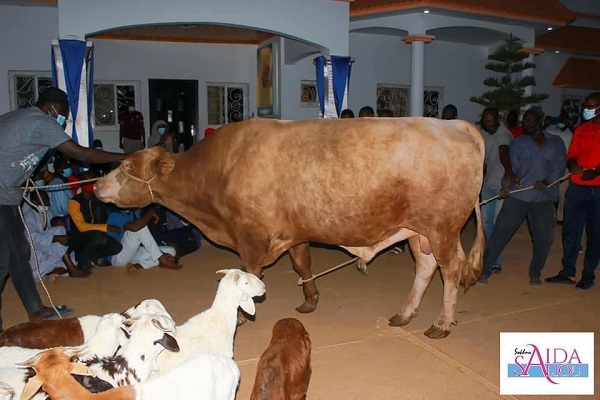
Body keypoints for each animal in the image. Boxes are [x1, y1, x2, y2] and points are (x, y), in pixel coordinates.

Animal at [95, 116, 488, 338]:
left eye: (127, 166)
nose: (97, 184)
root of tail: (456, 124)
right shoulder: (294, 232)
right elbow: (302, 264)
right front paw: (310, 300)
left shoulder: (250, 237)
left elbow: (247, 274)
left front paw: (240, 318)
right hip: (418, 232)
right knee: (426, 267)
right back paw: (404, 314)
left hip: (442, 228)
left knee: (451, 269)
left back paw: (441, 324)